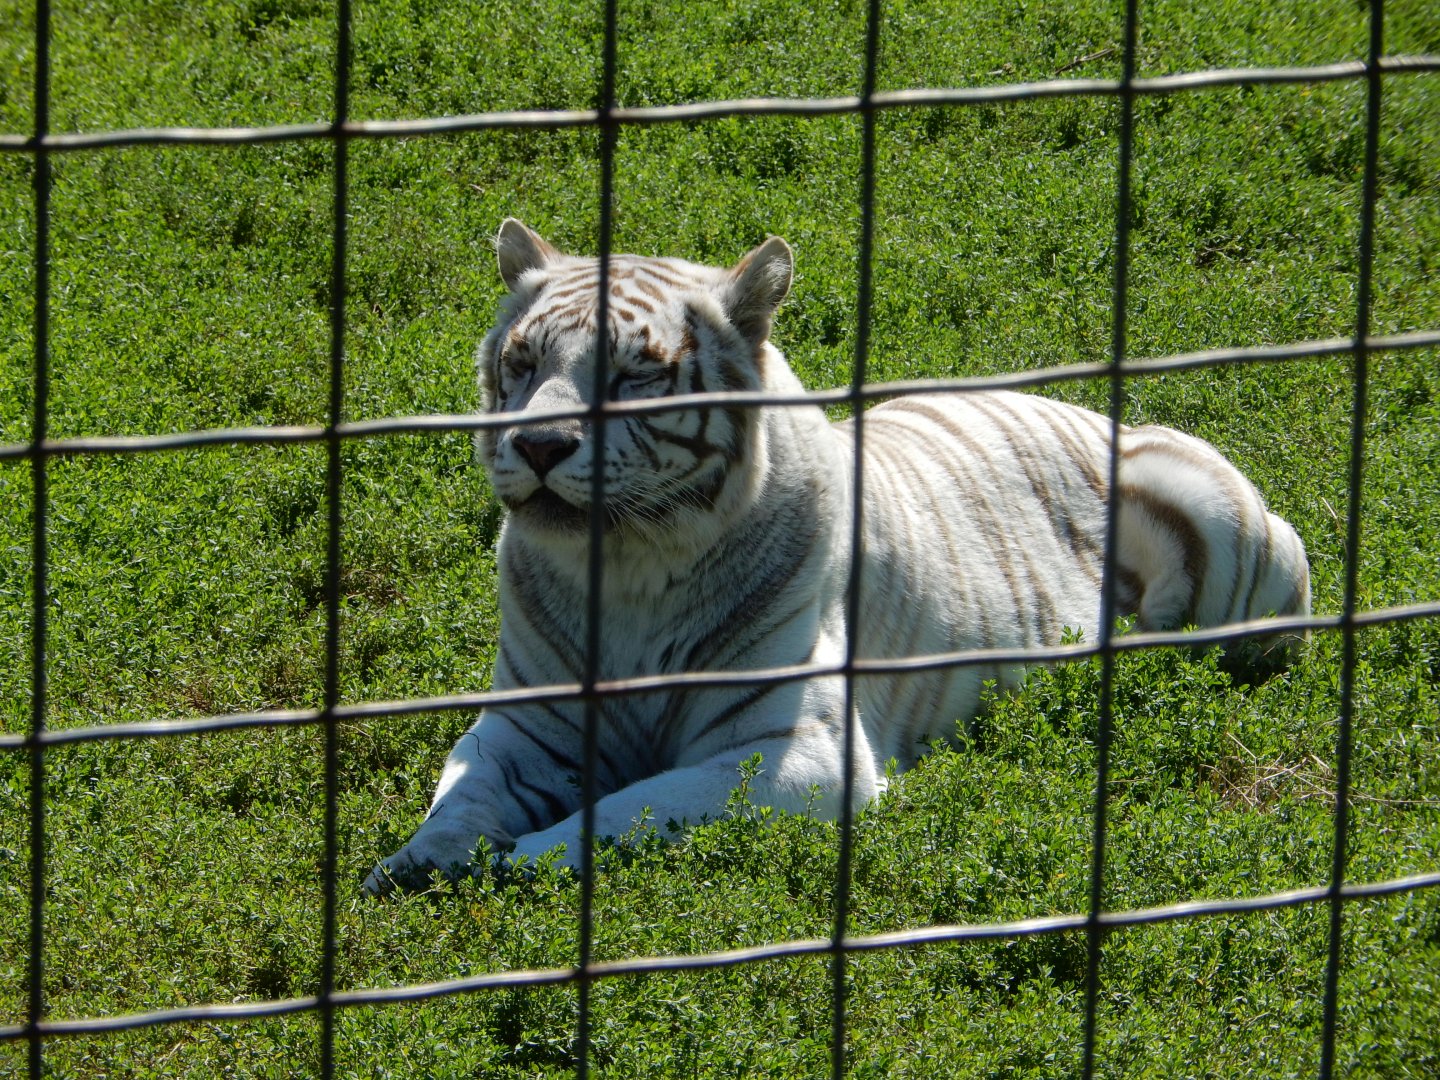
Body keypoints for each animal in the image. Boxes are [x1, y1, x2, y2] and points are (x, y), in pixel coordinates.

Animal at [362, 219, 1310, 895]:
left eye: (637, 374)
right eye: (522, 362)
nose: (541, 444)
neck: (628, 569)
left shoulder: (797, 754)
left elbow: (623, 813)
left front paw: (512, 862)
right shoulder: (523, 725)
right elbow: (460, 793)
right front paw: (416, 862)